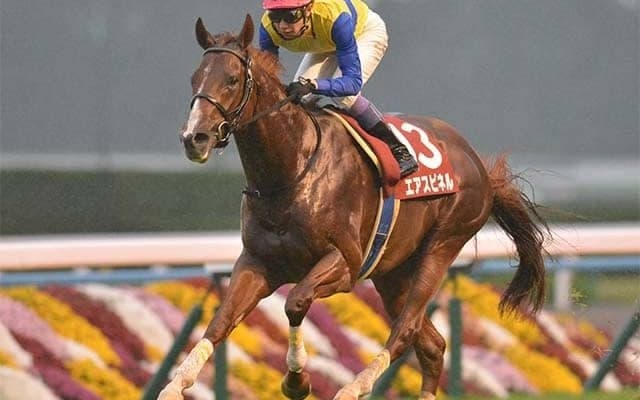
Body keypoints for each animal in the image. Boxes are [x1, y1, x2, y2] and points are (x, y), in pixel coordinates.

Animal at [159, 15, 548, 400]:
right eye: (195, 78)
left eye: (232, 79)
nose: (194, 138)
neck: (289, 169)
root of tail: (477, 163)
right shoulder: (257, 263)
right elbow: (220, 322)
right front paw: (177, 383)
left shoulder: (345, 263)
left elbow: (295, 302)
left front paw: (297, 381)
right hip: (393, 272)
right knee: (433, 345)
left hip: (443, 245)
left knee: (406, 330)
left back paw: (353, 386)